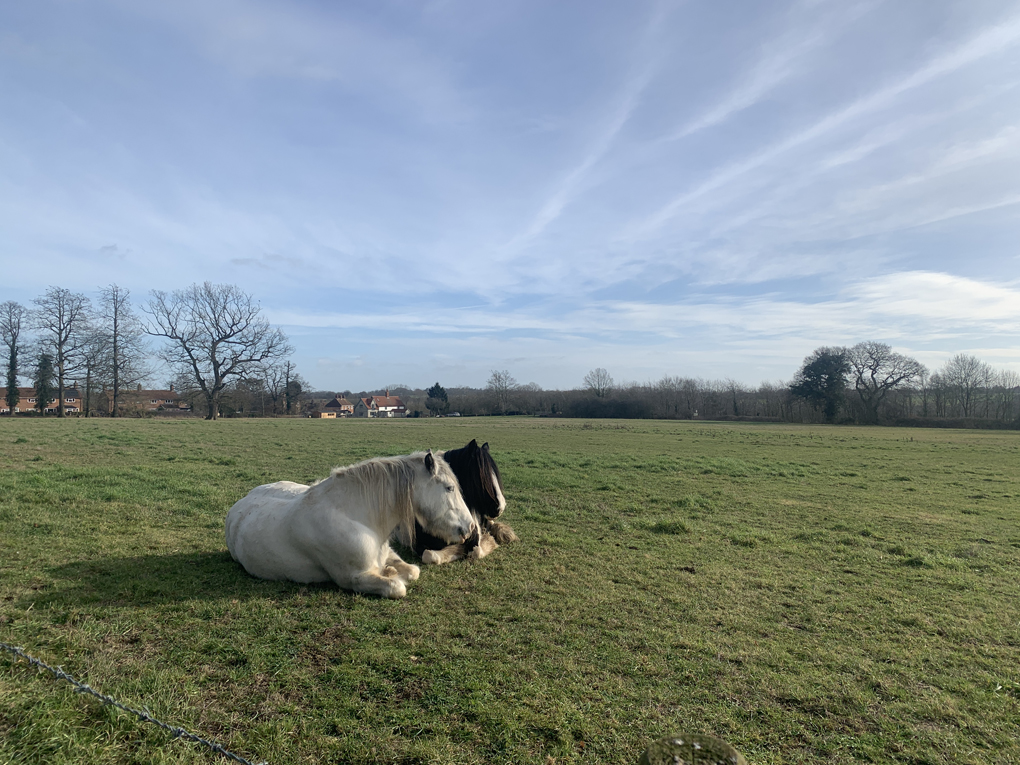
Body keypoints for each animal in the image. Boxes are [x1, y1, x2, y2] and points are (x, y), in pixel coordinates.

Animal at [225, 452, 475, 603]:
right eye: (449, 487)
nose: (470, 527)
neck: (357, 517)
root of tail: (242, 502)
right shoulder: (353, 578)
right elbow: (397, 586)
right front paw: (391, 574)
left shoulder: (389, 554)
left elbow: (413, 571)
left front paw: (392, 570)